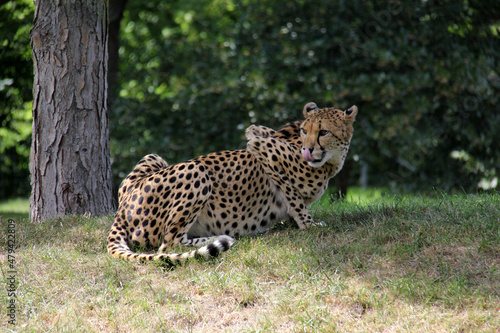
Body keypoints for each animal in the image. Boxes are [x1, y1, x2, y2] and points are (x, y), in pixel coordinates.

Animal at [107, 102, 358, 266]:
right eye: (306, 131)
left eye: (323, 132)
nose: (308, 149)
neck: (330, 161)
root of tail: (121, 210)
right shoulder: (263, 148)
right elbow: (293, 196)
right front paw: (307, 223)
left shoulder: (258, 133)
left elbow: (259, 130)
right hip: (197, 170)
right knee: (169, 244)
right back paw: (222, 238)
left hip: (153, 157)